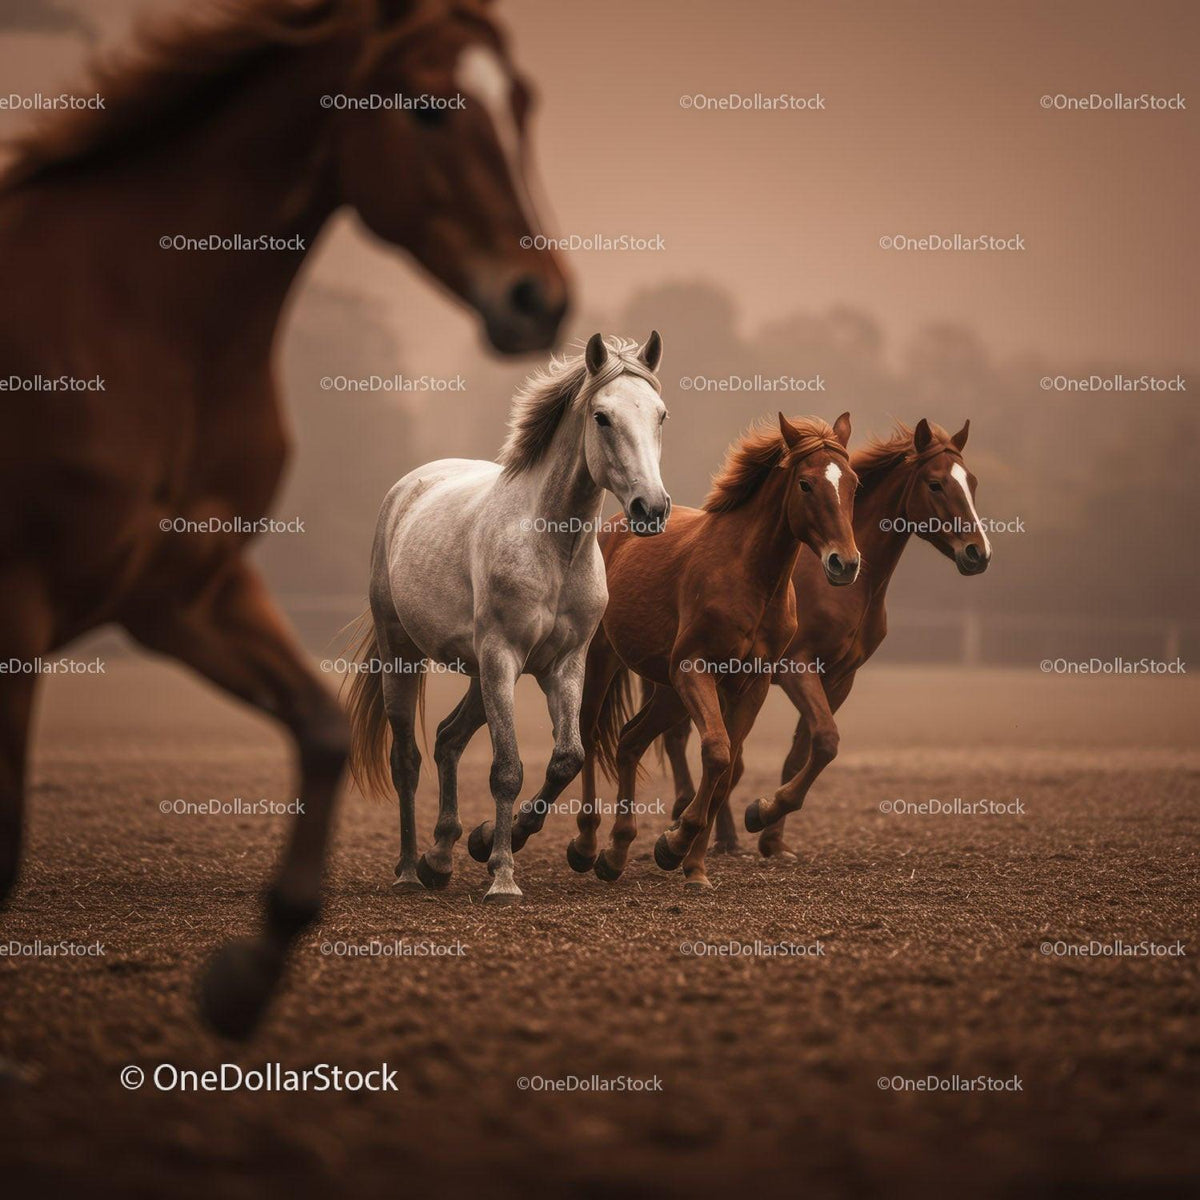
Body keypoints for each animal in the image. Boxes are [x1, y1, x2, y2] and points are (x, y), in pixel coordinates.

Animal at [0, 0, 568, 1039]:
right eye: (429, 106)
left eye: (524, 102)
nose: (537, 298)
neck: (137, 314)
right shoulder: (16, 603)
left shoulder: (186, 592)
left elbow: (327, 733)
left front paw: (243, 978)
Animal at [346, 333, 670, 903]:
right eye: (603, 417)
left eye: (660, 414)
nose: (650, 508)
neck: (552, 547)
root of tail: (408, 488)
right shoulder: (502, 658)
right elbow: (507, 770)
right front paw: (501, 875)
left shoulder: (564, 665)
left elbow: (566, 759)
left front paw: (489, 843)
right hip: (404, 655)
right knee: (406, 758)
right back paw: (409, 869)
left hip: (479, 676)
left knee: (448, 739)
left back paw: (440, 858)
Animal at [475, 413, 861, 891]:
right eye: (806, 484)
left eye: (855, 484)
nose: (845, 563)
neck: (748, 577)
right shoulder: (694, 670)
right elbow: (716, 753)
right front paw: (674, 844)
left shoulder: (750, 685)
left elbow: (726, 769)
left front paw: (694, 865)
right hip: (606, 665)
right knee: (589, 736)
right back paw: (584, 844)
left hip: (669, 693)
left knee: (629, 741)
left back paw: (616, 853)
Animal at [662, 419, 991, 858]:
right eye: (936, 484)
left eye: (971, 482)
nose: (978, 553)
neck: (849, 587)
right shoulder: (798, 669)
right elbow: (826, 740)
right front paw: (762, 813)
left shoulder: (838, 679)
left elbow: (803, 752)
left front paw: (772, 836)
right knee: (681, 740)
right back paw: (691, 820)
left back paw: (723, 836)